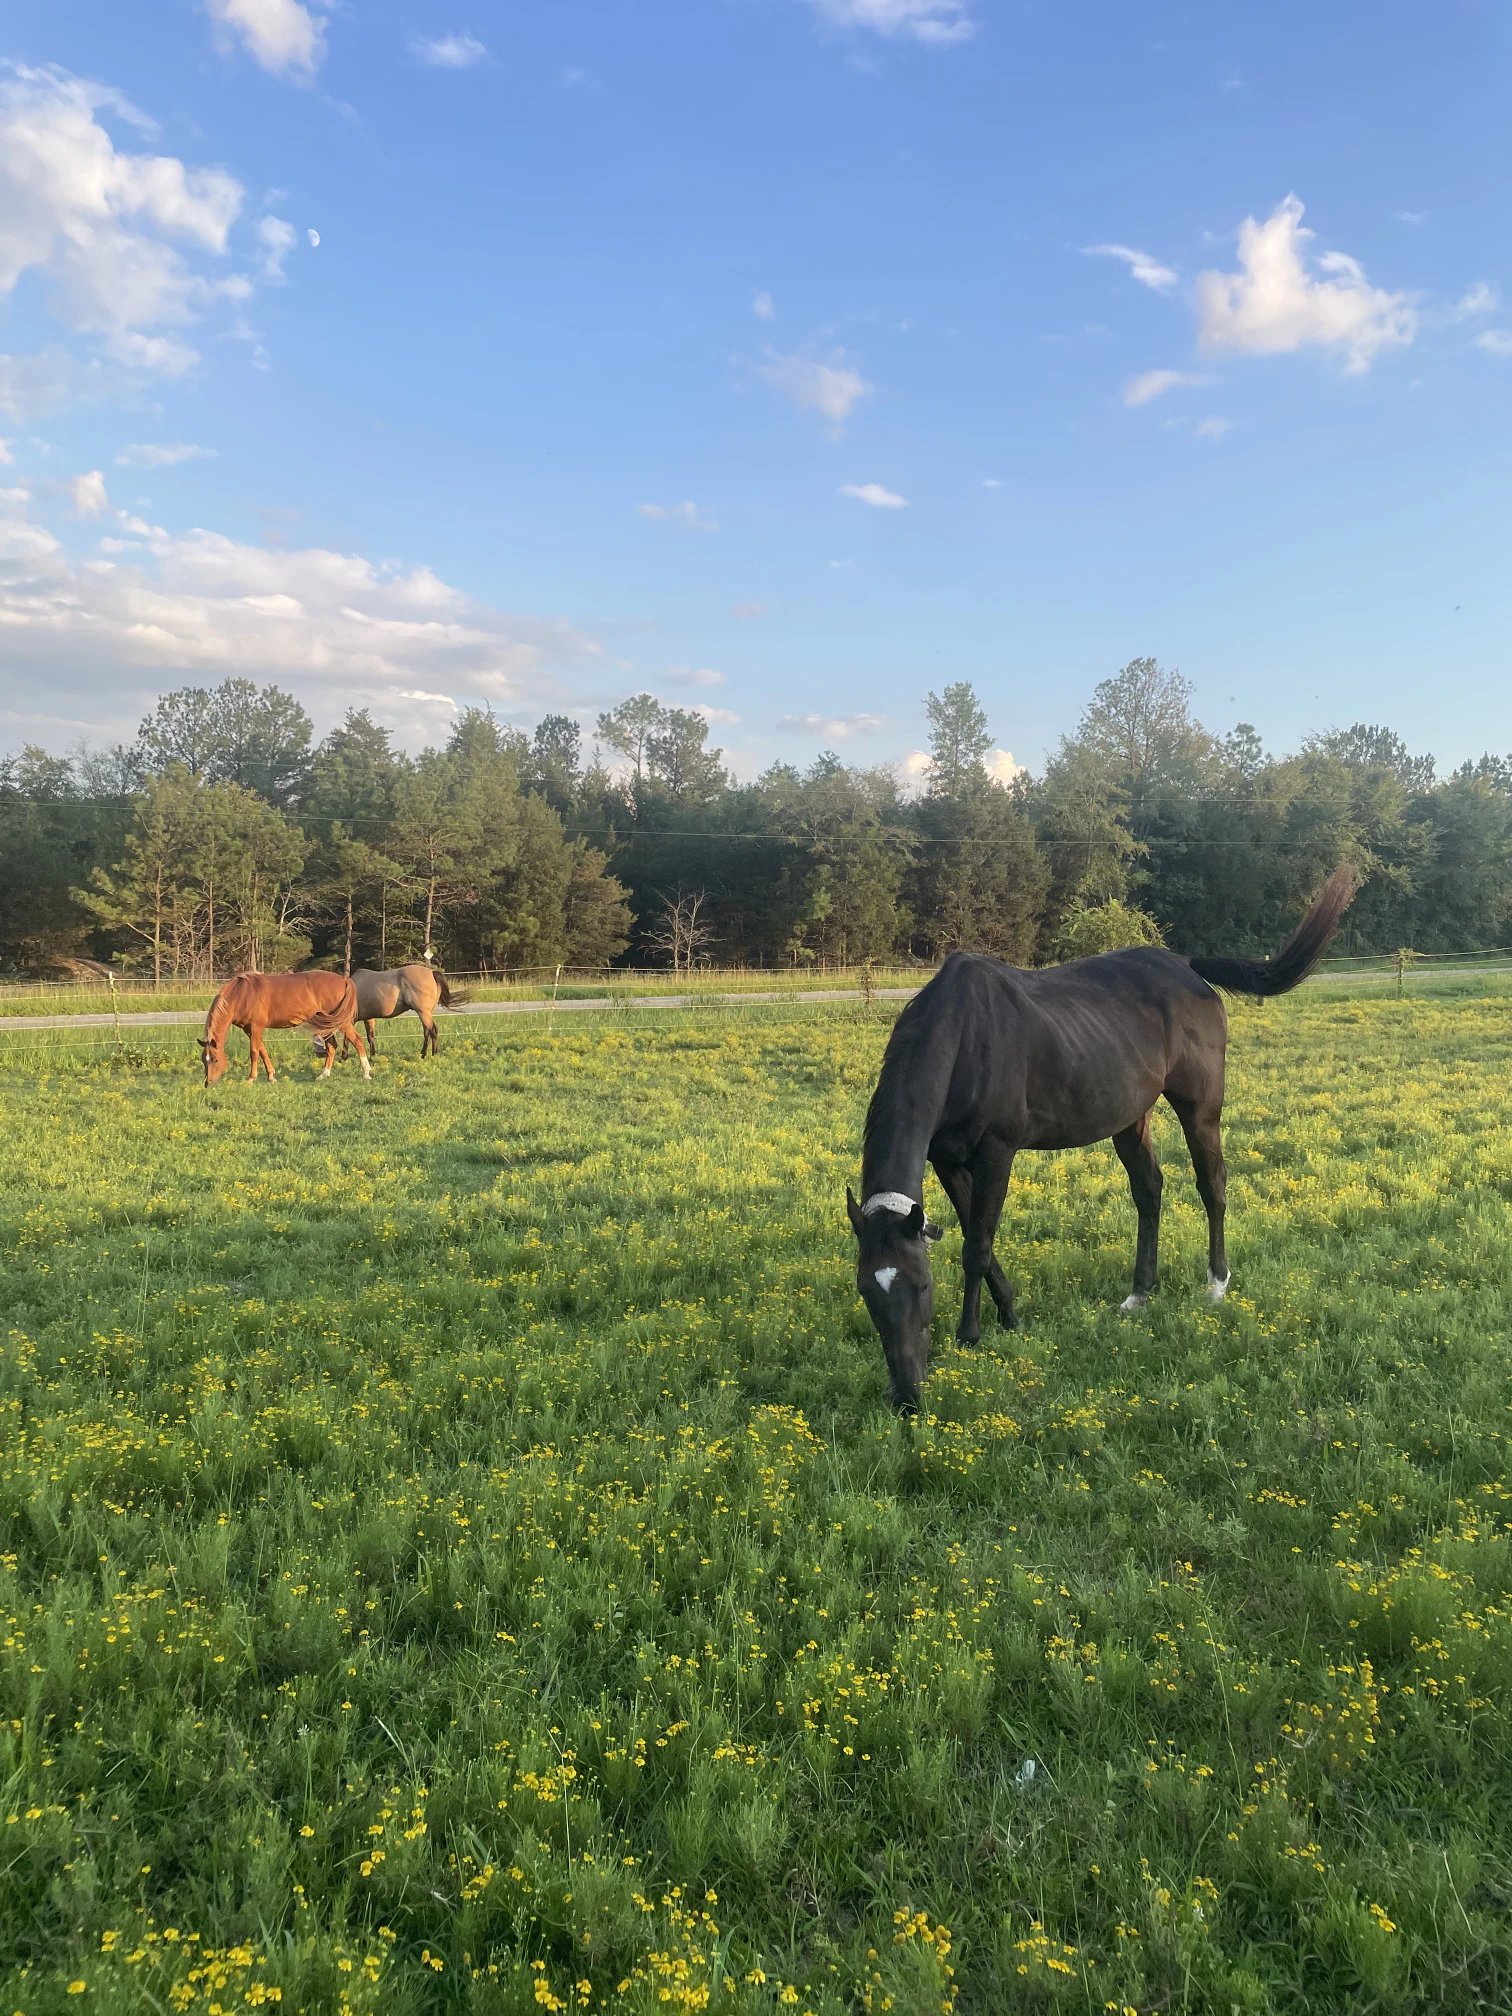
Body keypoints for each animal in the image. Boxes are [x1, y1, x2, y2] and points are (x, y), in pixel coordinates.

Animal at [200, 971, 371, 1086]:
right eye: (204, 1060)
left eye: (215, 1059)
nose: (208, 1083)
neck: (242, 994)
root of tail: (344, 979)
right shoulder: (249, 1029)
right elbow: (262, 1050)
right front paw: (271, 1076)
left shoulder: (256, 1027)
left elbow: (254, 1051)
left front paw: (251, 1078)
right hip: (325, 1023)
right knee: (331, 1046)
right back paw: (323, 1075)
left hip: (340, 1022)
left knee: (357, 1040)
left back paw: (366, 1072)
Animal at [847, 864, 1356, 1413]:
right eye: (865, 1290)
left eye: (922, 1286)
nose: (906, 1397)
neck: (963, 1036)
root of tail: (1186, 965)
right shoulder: (947, 1159)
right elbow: (973, 1235)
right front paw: (1009, 1313)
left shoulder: (997, 1152)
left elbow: (977, 1246)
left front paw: (972, 1334)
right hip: (1129, 1117)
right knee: (1149, 1190)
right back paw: (1140, 1293)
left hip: (1200, 1108)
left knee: (1212, 1184)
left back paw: (1216, 1284)